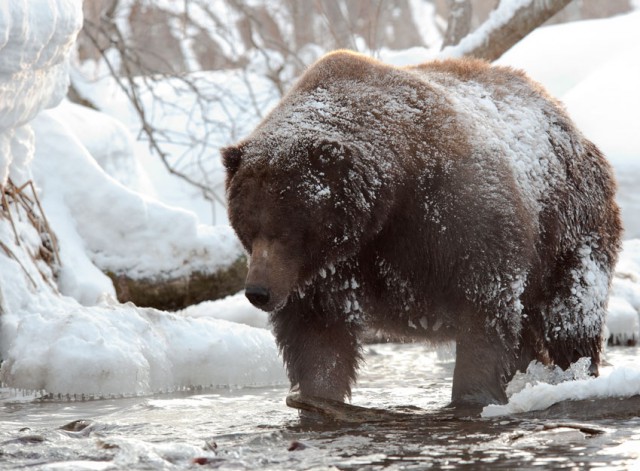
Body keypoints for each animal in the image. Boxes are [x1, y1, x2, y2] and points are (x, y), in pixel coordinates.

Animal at [222, 48, 624, 410]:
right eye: (247, 227)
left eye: (287, 229)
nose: (258, 291)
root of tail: (563, 115)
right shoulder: (329, 271)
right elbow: (318, 338)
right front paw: (315, 395)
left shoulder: (453, 218)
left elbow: (484, 309)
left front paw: (471, 394)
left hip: (566, 226)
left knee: (570, 311)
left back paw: (574, 371)